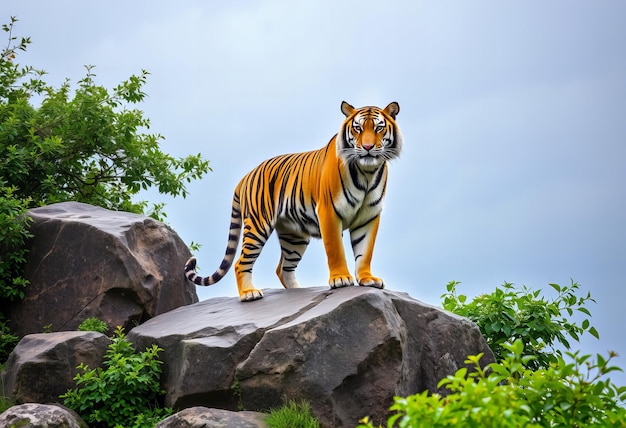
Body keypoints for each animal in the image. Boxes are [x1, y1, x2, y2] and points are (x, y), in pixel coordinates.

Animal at [183, 101, 402, 300]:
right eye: (357, 128)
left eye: (379, 128)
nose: (367, 147)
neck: (367, 172)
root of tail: (244, 177)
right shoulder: (329, 212)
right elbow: (335, 249)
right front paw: (340, 278)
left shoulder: (369, 216)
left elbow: (365, 252)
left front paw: (367, 279)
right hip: (258, 225)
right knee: (240, 262)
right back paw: (249, 293)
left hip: (294, 236)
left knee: (283, 268)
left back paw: (298, 292)